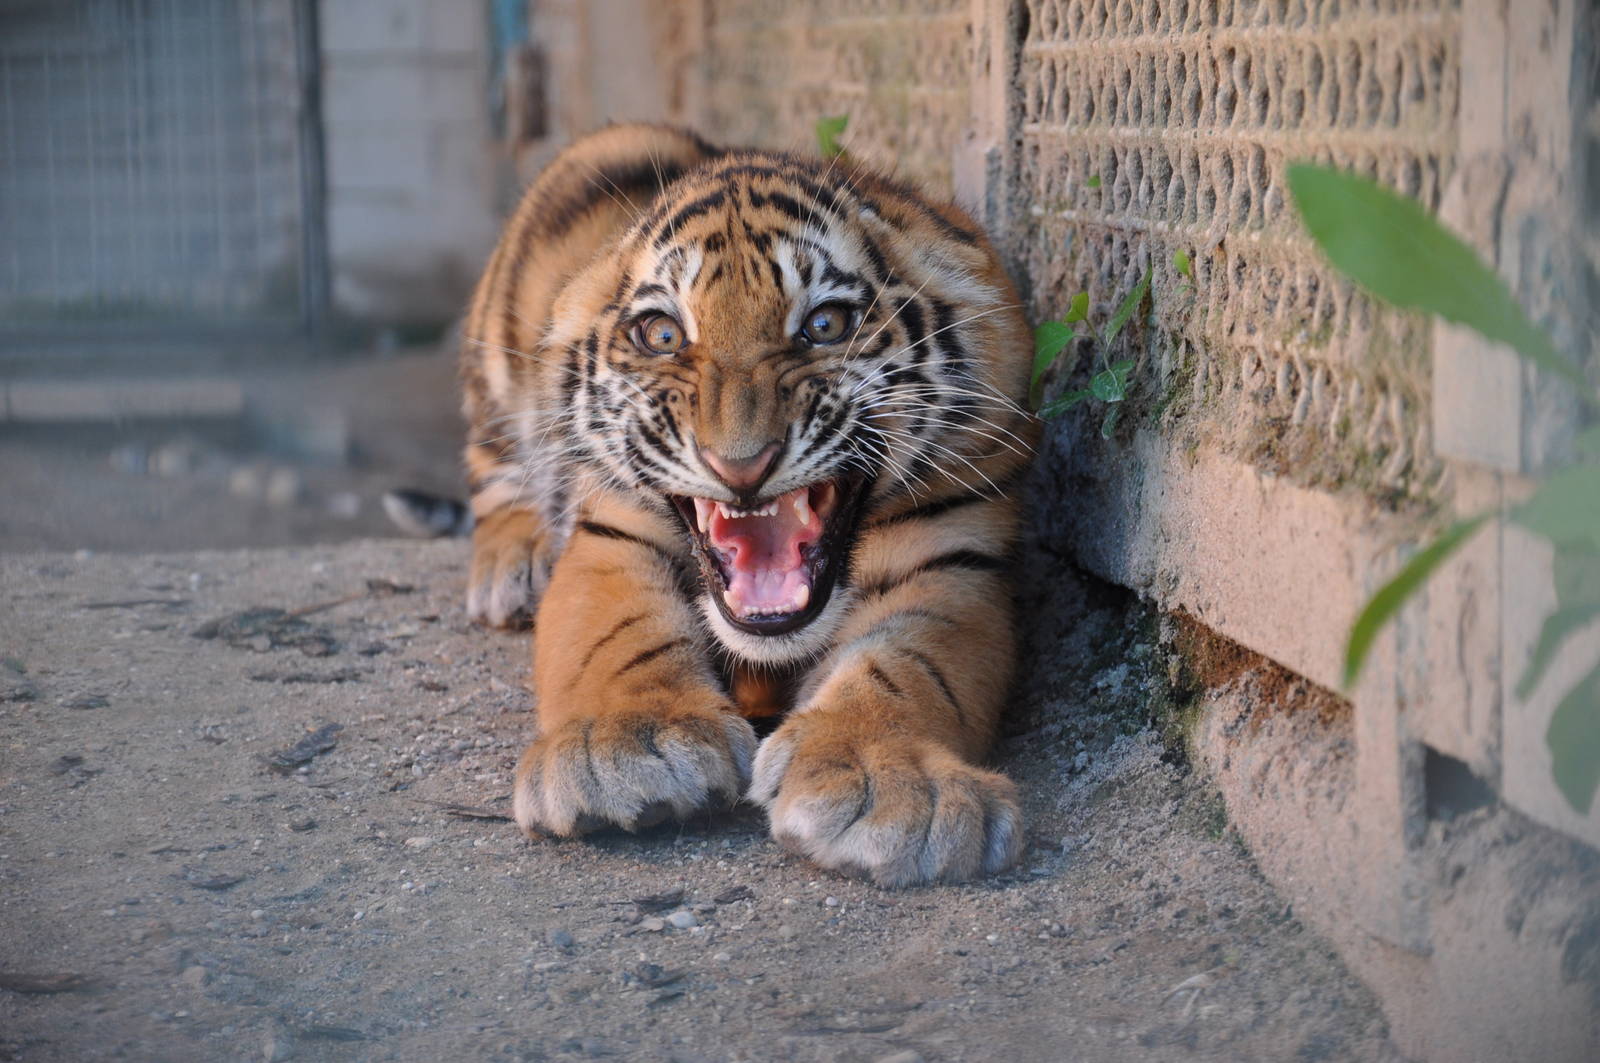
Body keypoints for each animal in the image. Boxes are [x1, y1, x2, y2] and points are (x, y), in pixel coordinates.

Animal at [457, 123, 1038, 886]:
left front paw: (891, 786)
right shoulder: (612, 532)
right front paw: (625, 746)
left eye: (826, 324)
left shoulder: (956, 556)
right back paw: (511, 567)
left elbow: (911, 666)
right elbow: (614, 636)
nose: (740, 466)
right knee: (492, 468)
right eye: (663, 335)